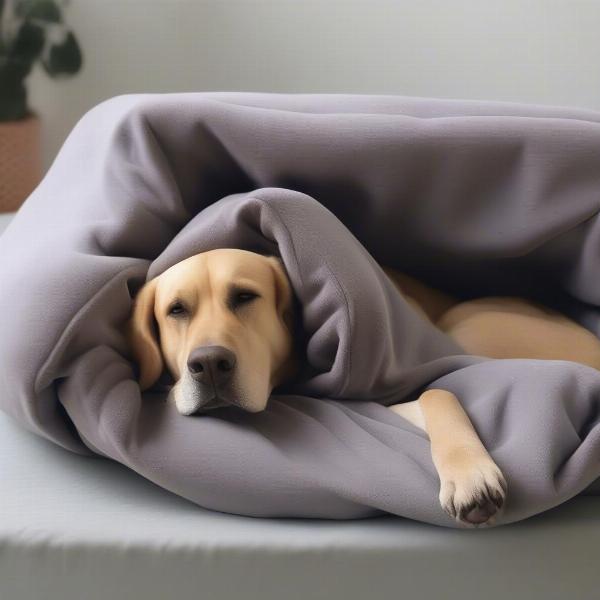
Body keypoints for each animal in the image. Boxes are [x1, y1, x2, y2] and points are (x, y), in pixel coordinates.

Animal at [125, 247, 600, 524]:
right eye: (176, 310)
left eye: (245, 297)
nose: (209, 364)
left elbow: (439, 390)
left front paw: (471, 474)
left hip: (470, 322)